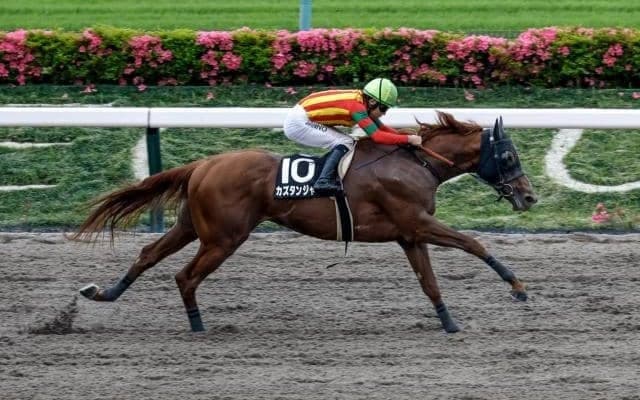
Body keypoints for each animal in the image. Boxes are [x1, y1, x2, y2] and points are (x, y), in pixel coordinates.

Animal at [72, 111, 537, 333]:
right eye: (508, 155)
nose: (529, 196)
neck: (417, 163)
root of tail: (202, 165)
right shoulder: (418, 223)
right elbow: (475, 244)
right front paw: (518, 288)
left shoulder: (409, 234)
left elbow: (430, 284)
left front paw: (450, 323)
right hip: (224, 238)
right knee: (185, 277)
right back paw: (198, 326)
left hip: (193, 227)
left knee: (148, 254)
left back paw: (104, 293)